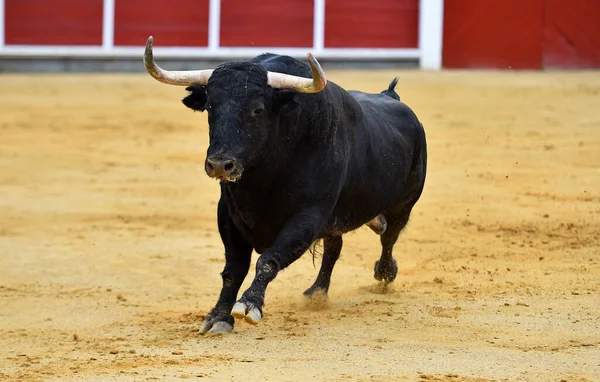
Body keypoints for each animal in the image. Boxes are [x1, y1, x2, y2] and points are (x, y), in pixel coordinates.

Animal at [145, 44, 426, 332]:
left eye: (257, 110)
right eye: (210, 107)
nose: (220, 164)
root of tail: (390, 96)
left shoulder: (308, 217)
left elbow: (268, 260)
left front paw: (249, 304)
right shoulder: (228, 214)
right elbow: (234, 268)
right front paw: (218, 316)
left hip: (403, 204)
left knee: (388, 236)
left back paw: (384, 272)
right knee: (335, 246)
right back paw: (316, 293)